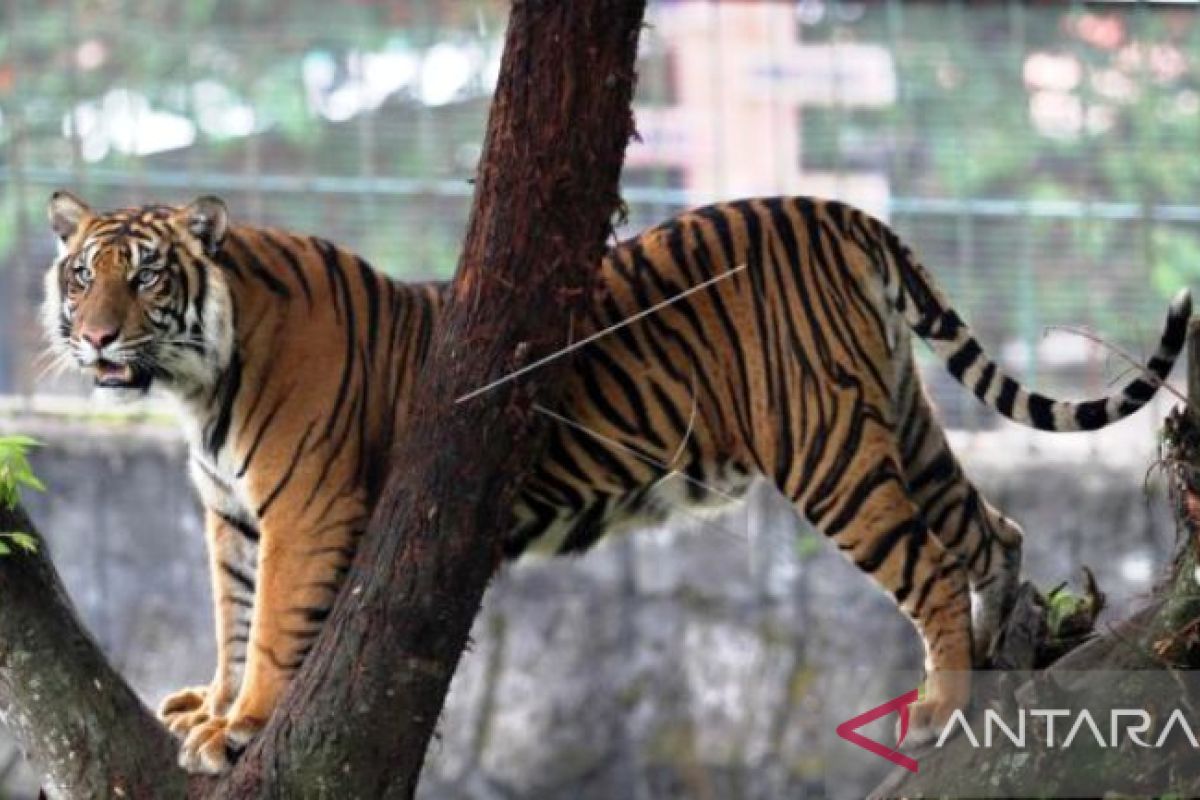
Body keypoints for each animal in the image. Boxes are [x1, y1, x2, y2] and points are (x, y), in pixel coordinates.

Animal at [39, 189, 1190, 777]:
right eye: (81, 273)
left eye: (146, 274)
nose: (91, 337)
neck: (201, 380)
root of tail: (832, 206)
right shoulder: (231, 519)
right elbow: (231, 620)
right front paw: (209, 704)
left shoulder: (302, 514)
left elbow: (275, 626)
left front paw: (241, 726)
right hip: (901, 421)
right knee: (994, 529)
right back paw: (1005, 663)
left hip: (828, 450)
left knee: (933, 565)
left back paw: (943, 705)